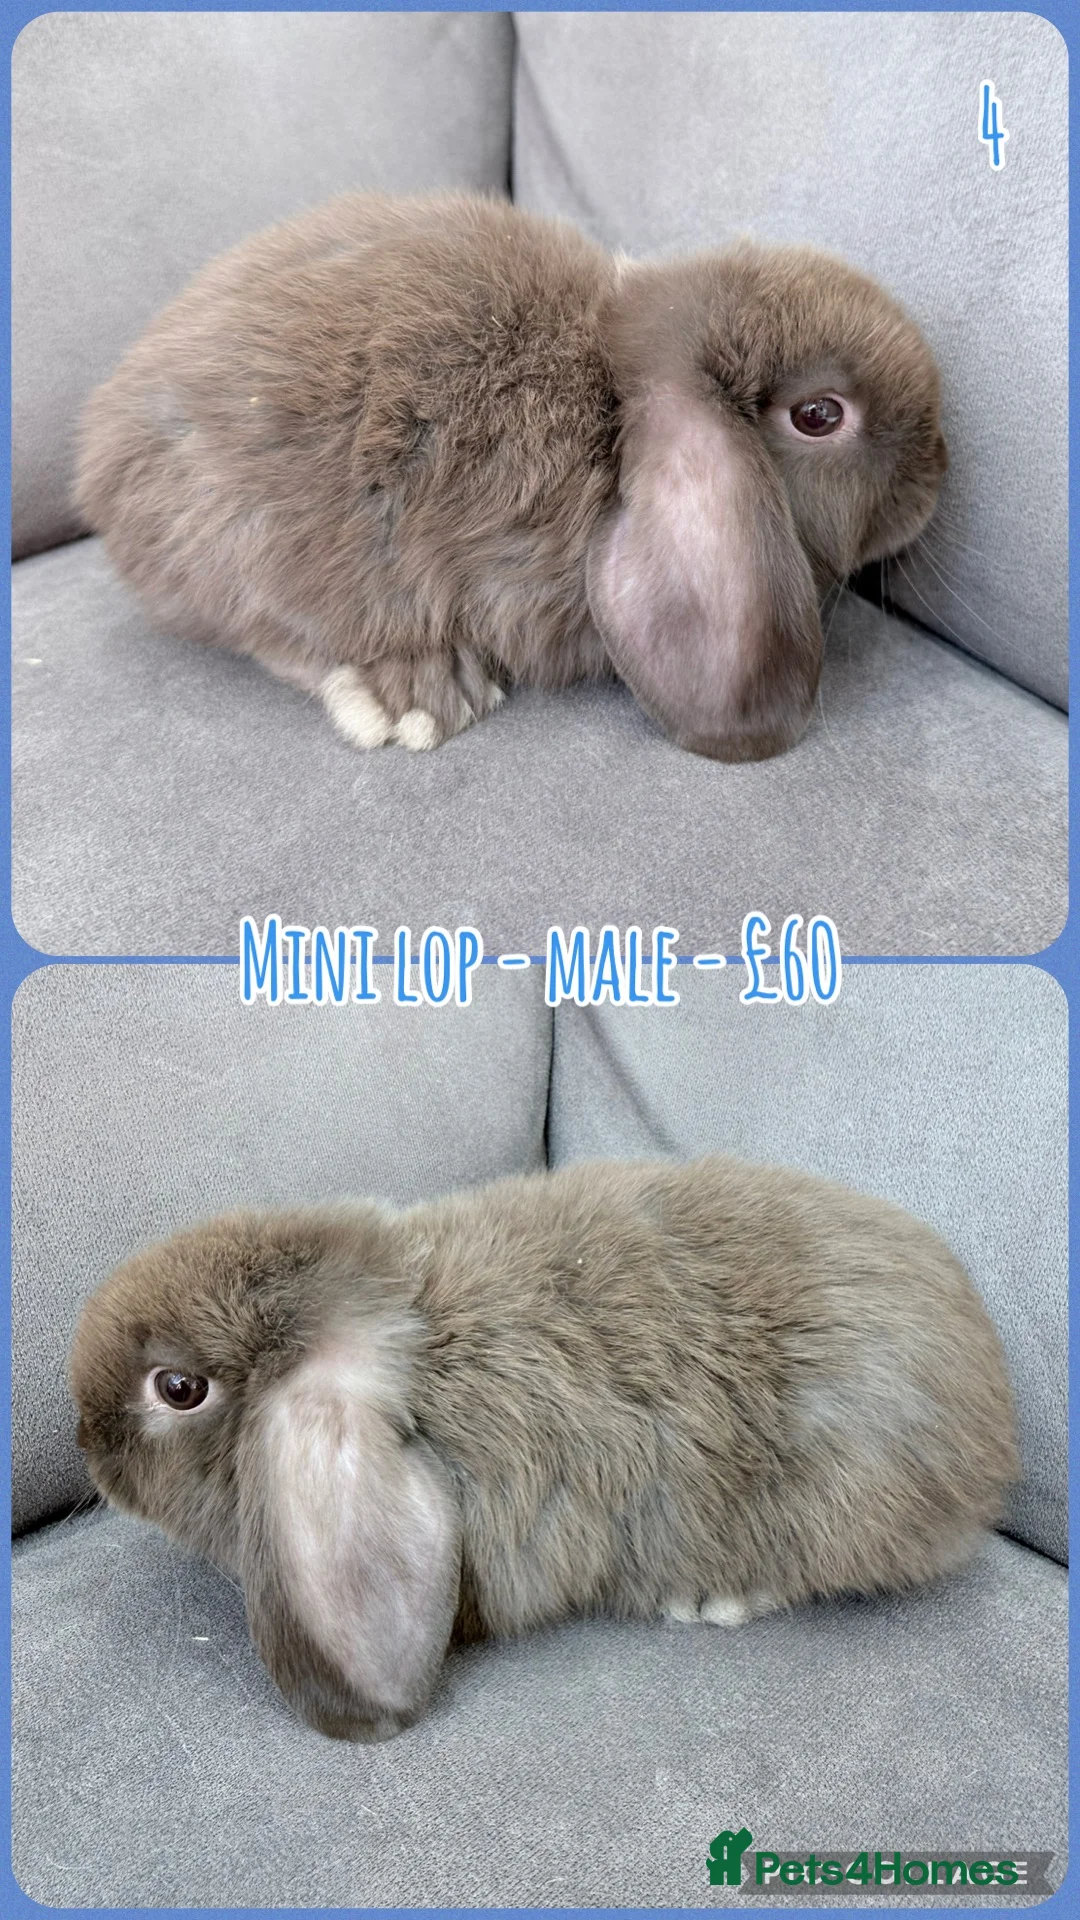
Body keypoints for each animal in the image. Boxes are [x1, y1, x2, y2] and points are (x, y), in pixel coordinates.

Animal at [75, 191, 947, 762]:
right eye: (820, 416)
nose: (937, 473)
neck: (615, 395)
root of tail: (100, 457)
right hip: (253, 551)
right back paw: (419, 694)